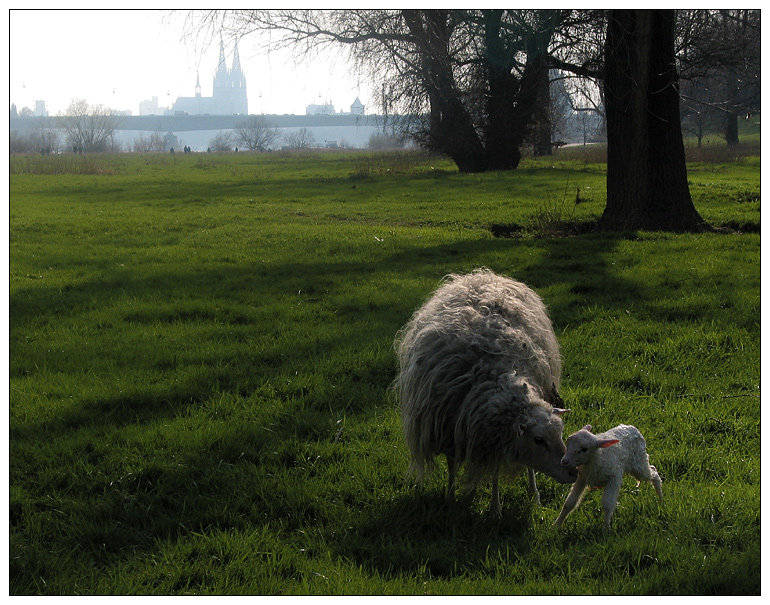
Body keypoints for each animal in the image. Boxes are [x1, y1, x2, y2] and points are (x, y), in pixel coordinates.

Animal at [392, 268, 572, 516]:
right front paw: (451, 500)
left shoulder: (492, 434)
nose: (573, 471)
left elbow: (495, 470)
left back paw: (533, 494)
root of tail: (483, 275)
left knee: (528, 469)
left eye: (561, 434)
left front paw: (495, 509)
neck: (493, 372)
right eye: (538, 440)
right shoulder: (450, 426)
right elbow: (452, 464)